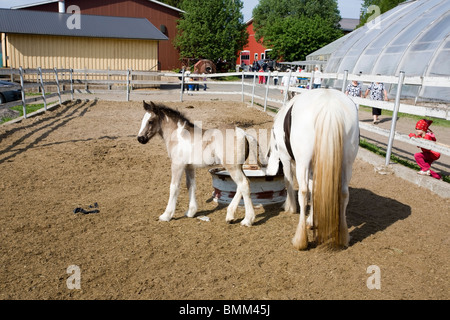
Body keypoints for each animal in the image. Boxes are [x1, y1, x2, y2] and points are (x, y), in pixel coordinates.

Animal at [268, 89, 358, 250]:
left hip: (303, 162)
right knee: (344, 193)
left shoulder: (286, 158)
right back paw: (343, 236)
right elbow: (314, 188)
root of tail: (329, 104)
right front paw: (312, 219)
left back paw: (300, 239)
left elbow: (289, 182)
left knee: (303, 192)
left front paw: (290, 207)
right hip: (347, 163)